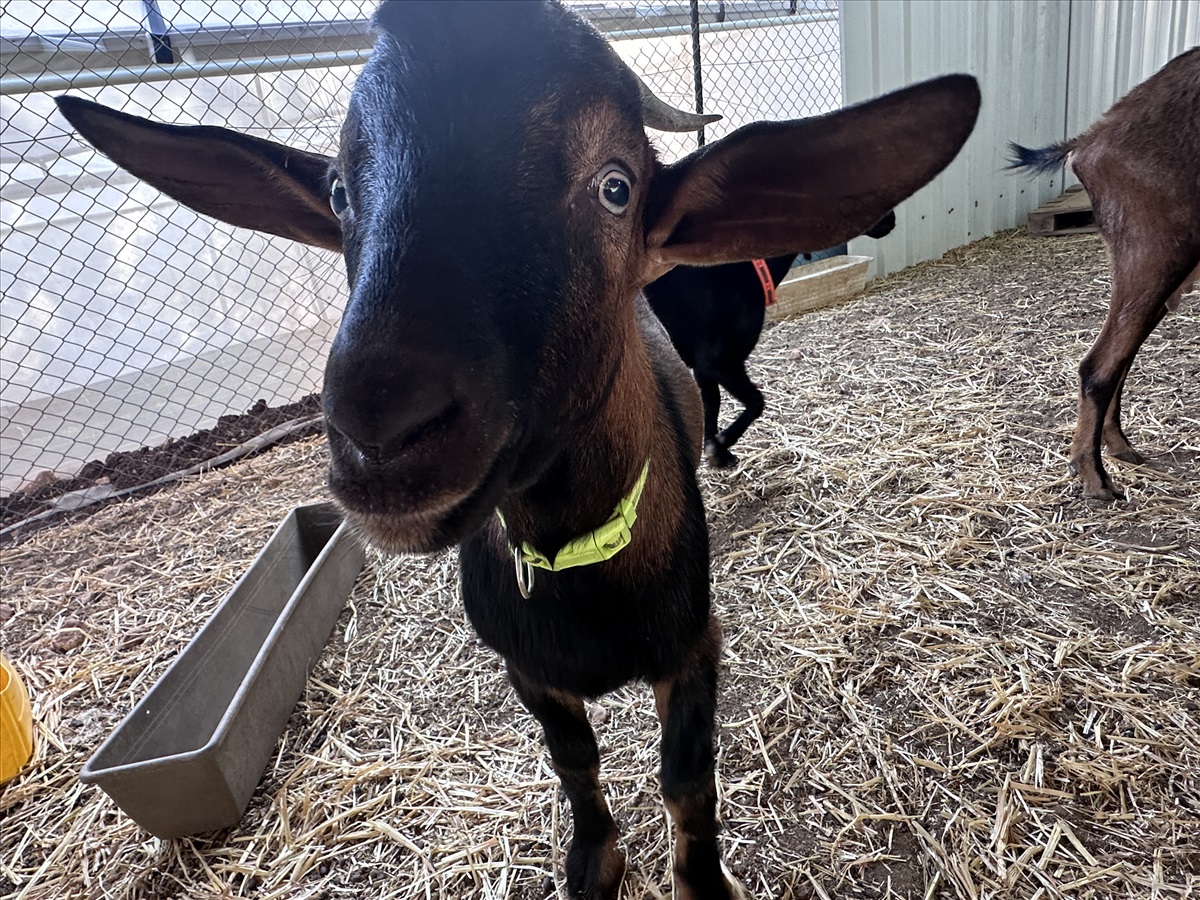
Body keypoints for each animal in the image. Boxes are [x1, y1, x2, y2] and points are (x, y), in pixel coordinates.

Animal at [648, 213, 892, 465]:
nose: (891, 219)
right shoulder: (720, 363)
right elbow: (756, 402)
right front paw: (722, 444)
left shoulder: (703, 369)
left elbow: (711, 407)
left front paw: (718, 452)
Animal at [1012, 47, 1200, 501]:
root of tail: (1090, 140)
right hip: (1158, 248)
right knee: (1100, 365)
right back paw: (1096, 479)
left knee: (1121, 357)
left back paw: (1118, 450)